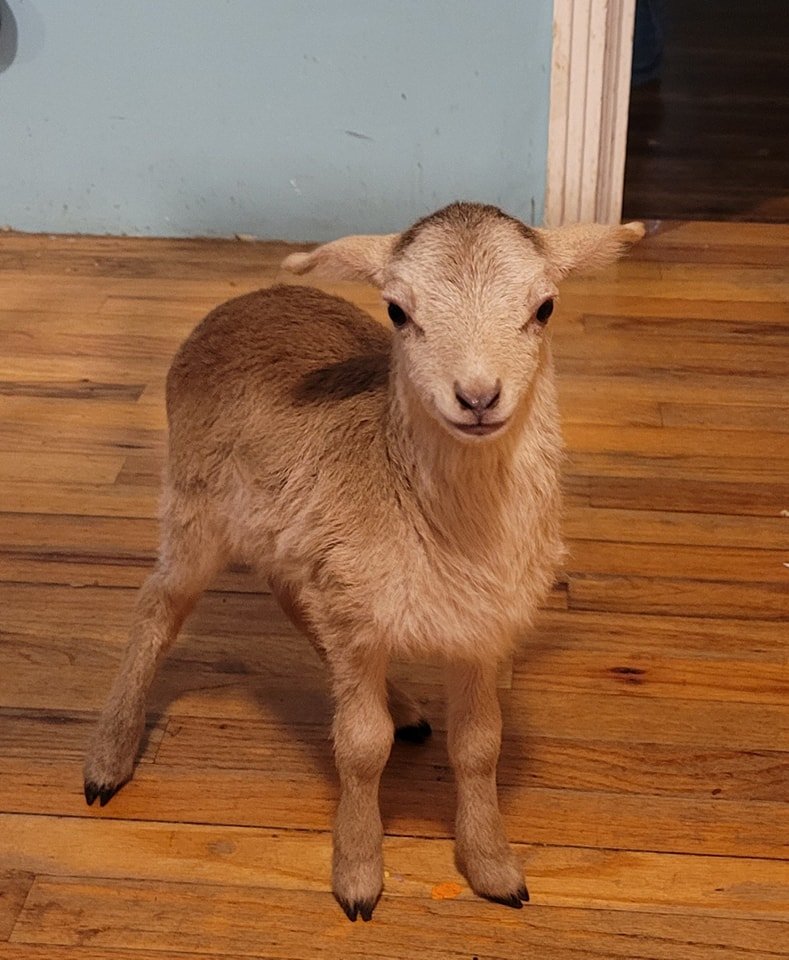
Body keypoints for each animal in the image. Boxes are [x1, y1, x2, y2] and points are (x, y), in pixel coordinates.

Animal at [83, 201, 644, 922]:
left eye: (545, 307)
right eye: (397, 312)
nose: (477, 396)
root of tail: (242, 303)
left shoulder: (475, 628)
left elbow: (479, 745)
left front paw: (491, 865)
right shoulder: (357, 612)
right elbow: (360, 746)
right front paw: (357, 872)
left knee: (292, 596)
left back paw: (403, 704)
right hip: (194, 506)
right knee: (156, 606)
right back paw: (109, 756)